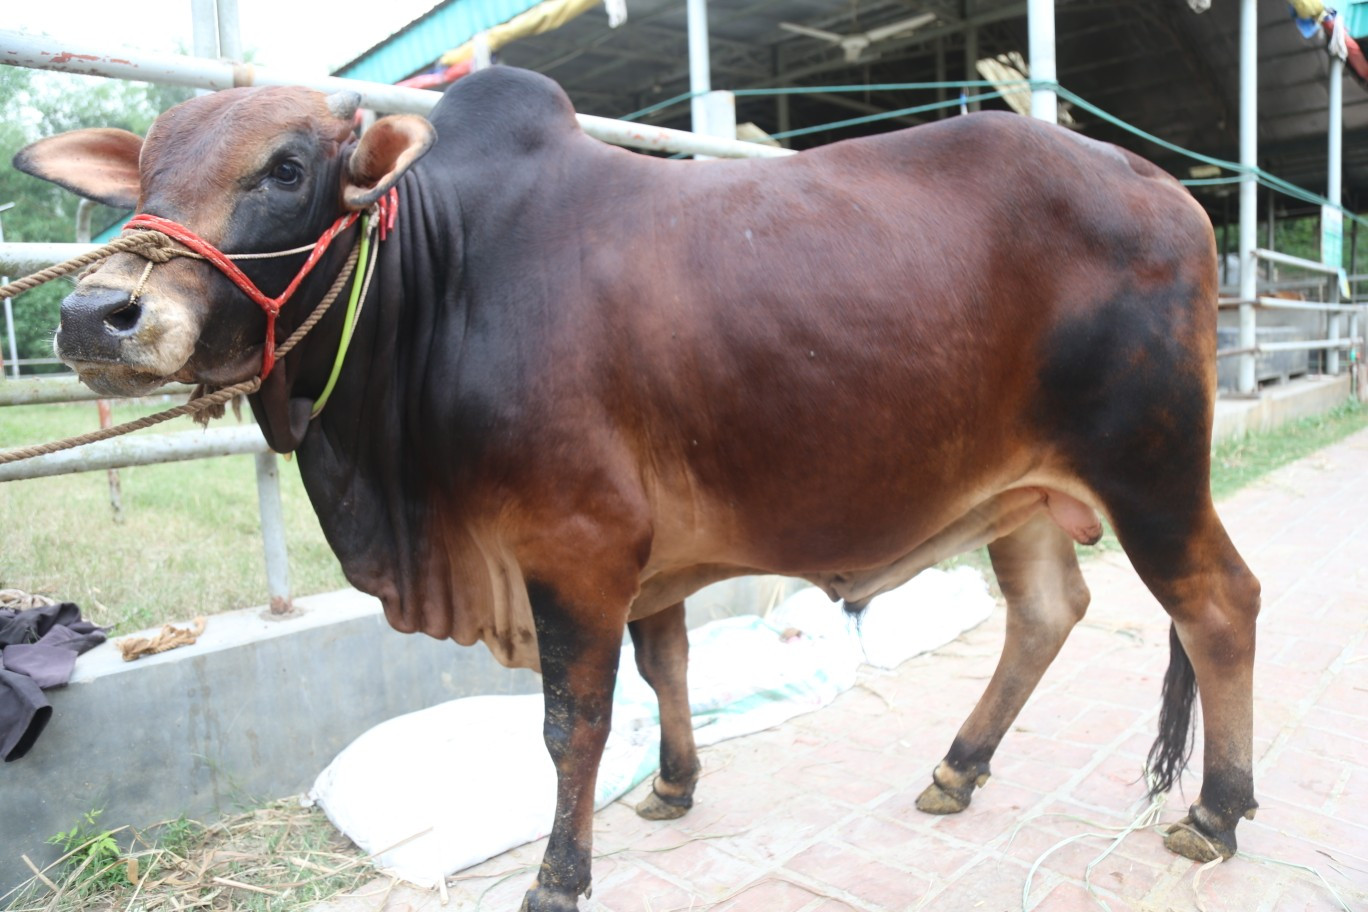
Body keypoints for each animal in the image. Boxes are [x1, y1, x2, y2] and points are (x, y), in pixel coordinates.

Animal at [15, 66, 1260, 910]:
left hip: (1149, 469)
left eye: (285, 169)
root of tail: (1172, 191)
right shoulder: (645, 560)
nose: (96, 313)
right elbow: (670, 666)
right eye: (144, 175)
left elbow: (573, 726)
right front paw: (673, 786)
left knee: (1220, 605)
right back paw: (958, 768)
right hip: (1023, 493)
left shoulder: (576, 546)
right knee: (1049, 610)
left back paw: (1215, 811)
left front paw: (559, 876)